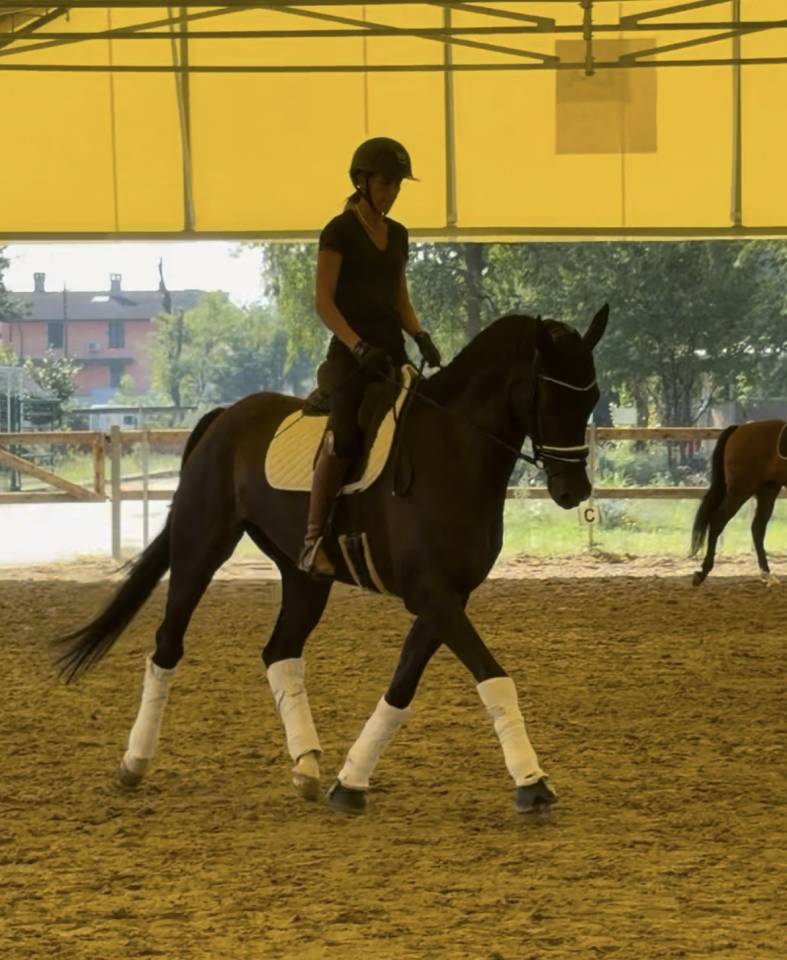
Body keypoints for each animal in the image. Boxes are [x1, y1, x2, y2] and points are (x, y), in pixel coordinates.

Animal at [53, 305, 609, 815]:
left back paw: (306, 767)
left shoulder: (448, 597)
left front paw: (351, 782)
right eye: (551, 394)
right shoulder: (433, 595)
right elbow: (493, 677)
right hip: (200, 548)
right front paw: (532, 783)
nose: (572, 490)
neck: (451, 451)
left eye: (592, 398)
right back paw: (134, 763)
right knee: (168, 644)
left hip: (304, 576)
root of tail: (224, 418)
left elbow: (402, 685)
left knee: (279, 652)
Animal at [691, 419, 787, 587]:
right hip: (740, 491)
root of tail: (740, 428)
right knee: (718, 521)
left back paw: (766, 573)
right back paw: (703, 571)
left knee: (757, 528)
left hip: (767, 490)